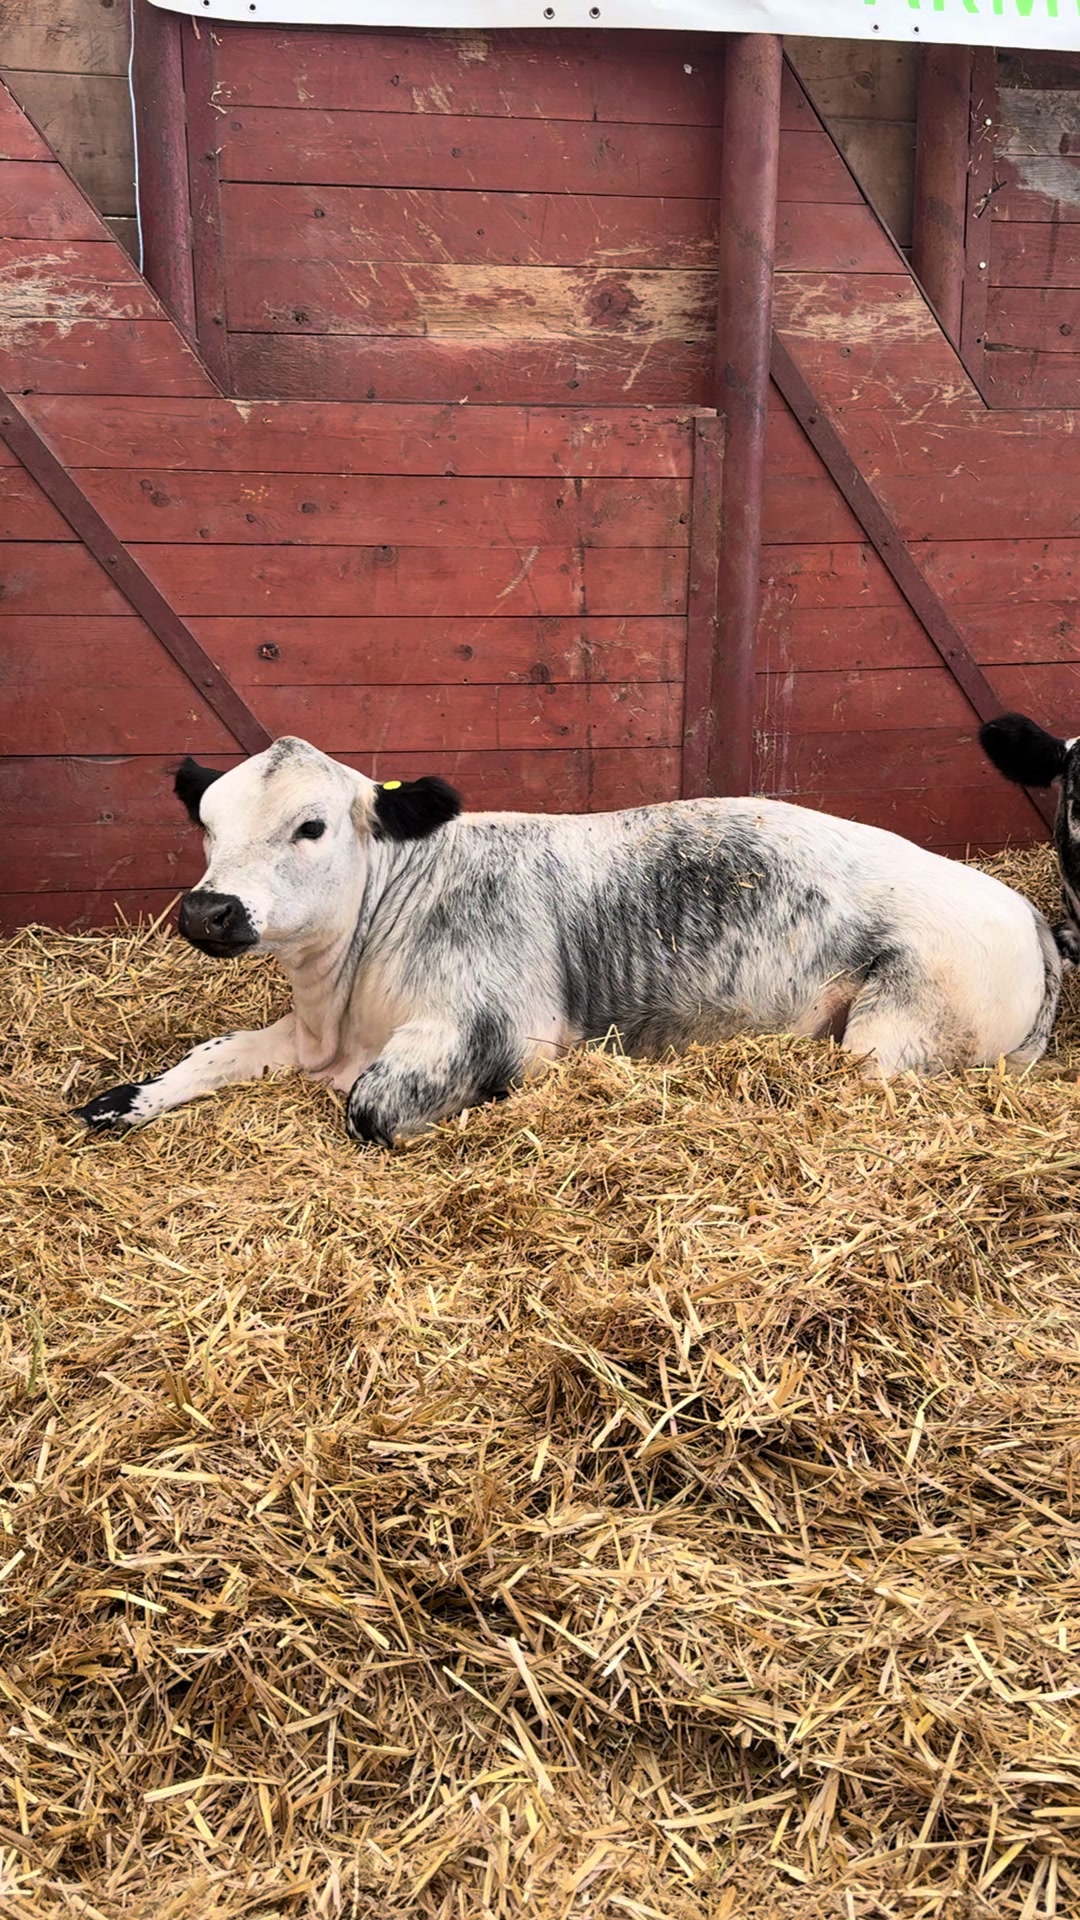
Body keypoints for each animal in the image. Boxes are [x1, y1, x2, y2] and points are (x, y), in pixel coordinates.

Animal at [74, 737, 1062, 1147]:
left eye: (310, 827)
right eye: (205, 824)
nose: (208, 911)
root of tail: (1025, 910)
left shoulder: (491, 1025)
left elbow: (371, 1109)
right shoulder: (309, 1035)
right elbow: (209, 1055)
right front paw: (119, 1100)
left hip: (894, 1034)